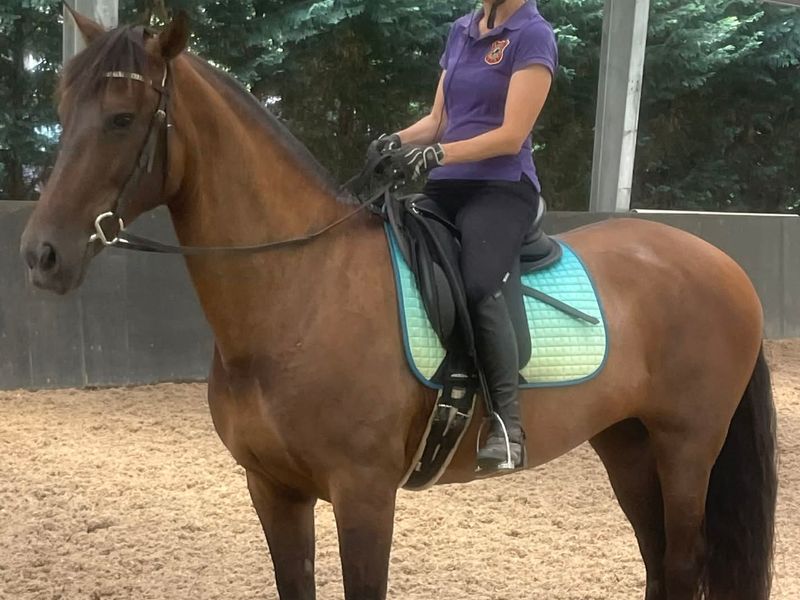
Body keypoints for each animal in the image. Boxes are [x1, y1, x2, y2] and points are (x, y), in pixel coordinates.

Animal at [20, 11, 777, 600]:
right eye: (62, 112)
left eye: (121, 119)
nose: (40, 255)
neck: (300, 294)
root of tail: (721, 263)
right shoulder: (273, 489)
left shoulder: (364, 493)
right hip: (627, 442)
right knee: (658, 562)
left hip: (687, 447)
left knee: (681, 563)